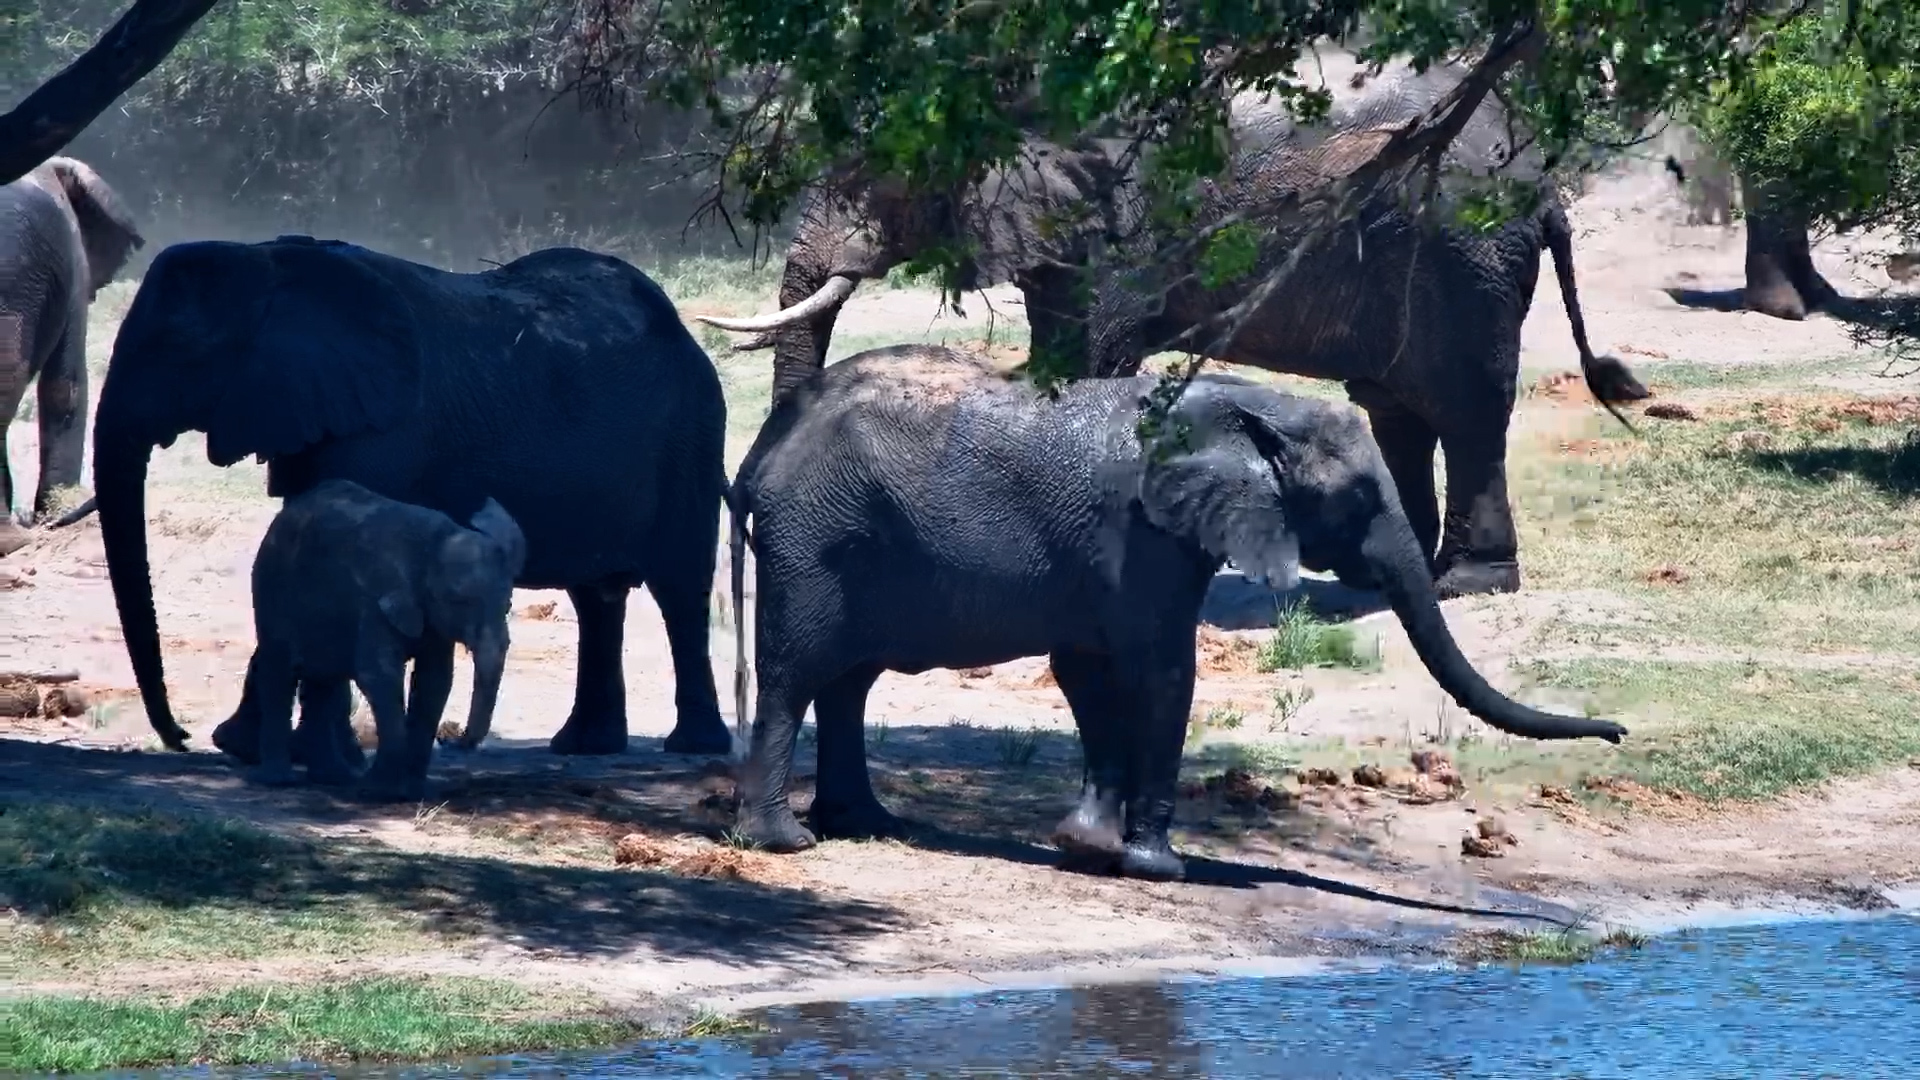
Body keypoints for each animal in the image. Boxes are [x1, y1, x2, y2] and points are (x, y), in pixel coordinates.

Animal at [92, 234, 735, 763]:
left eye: (178, 345)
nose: (180, 737)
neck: (268, 262)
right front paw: (257, 747)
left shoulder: (384, 426)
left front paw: (254, 748)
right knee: (597, 598)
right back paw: (584, 746)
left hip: (691, 434)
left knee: (680, 587)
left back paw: (694, 746)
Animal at [248, 479, 526, 799]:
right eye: (460, 602)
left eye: (507, 606)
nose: (452, 738)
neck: (434, 543)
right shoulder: (375, 598)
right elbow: (379, 675)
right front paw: (379, 791)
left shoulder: (430, 615)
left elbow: (435, 680)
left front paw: (415, 791)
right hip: (271, 588)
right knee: (279, 674)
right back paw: (279, 780)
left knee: (324, 683)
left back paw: (335, 778)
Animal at [697, 47, 1651, 601]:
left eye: (874, 184)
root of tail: (1546, 187)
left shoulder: (1127, 225)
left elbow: (1088, 352)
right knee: (1397, 410)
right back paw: (1378, 577)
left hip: (1466, 255)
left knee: (1466, 408)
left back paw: (1466, 586)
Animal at [724, 345, 1626, 882]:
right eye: (1361, 498)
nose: (1617, 734)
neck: (1249, 406)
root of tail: (762, 451)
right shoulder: (1145, 535)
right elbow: (1160, 673)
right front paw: (1162, 866)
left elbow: (1089, 674)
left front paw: (1090, 847)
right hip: (817, 538)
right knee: (796, 673)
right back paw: (787, 842)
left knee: (848, 681)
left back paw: (868, 824)